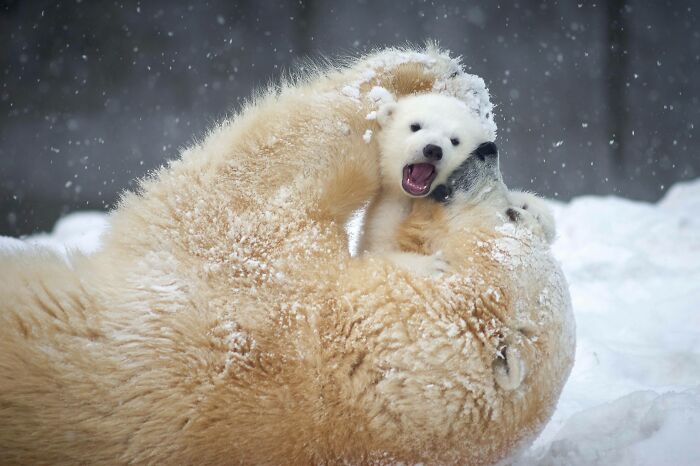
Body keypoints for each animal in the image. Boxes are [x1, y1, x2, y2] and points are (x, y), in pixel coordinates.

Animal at [0, 45, 574, 465]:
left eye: (509, 217)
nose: (487, 152)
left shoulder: (270, 303)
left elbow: (265, 174)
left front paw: (431, 74)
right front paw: (458, 85)